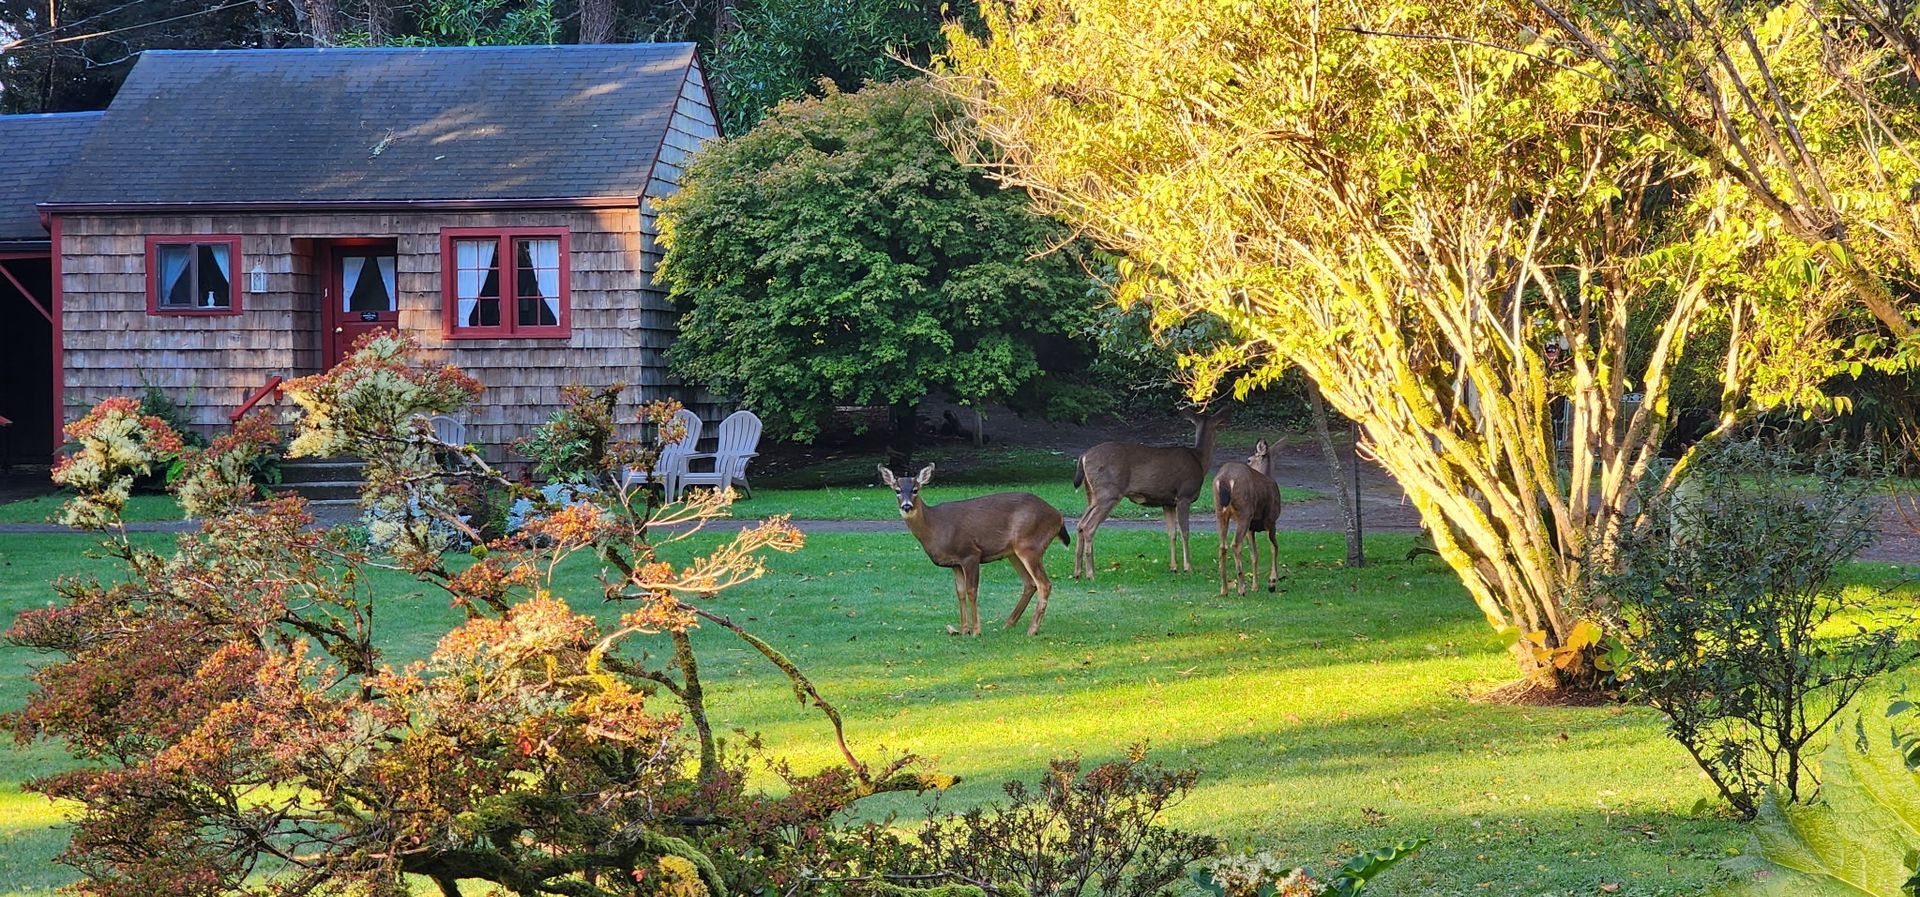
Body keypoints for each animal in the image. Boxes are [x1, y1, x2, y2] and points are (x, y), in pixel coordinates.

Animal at [878, 464, 1071, 636]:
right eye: (897, 490)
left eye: (916, 489)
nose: (907, 506)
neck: (935, 526)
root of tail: (1058, 517)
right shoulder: (955, 563)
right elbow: (960, 592)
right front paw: (964, 630)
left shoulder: (970, 553)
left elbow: (972, 591)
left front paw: (977, 631)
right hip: (1014, 552)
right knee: (1030, 583)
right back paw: (1008, 624)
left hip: (1030, 545)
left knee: (1044, 584)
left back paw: (1031, 630)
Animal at [1071, 408, 1227, 579]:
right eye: (1218, 426)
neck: (1199, 460)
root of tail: (1084, 456)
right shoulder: (1184, 496)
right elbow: (1185, 532)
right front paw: (1187, 567)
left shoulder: (1168, 502)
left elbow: (1172, 533)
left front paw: (1173, 567)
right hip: (1109, 493)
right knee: (1088, 526)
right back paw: (1090, 574)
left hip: (1092, 495)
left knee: (1080, 524)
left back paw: (1077, 572)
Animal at [1215, 439, 1284, 595]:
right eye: (1249, 460)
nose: (1247, 461)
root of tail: (1225, 479)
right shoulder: (1272, 520)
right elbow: (1274, 547)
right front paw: (1272, 582)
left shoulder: (1251, 529)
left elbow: (1254, 555)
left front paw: (1255, 586)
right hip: (1244, 512)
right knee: (1235, 544)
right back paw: (1241, 589)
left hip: (1219, 512)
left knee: (1222, 545)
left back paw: (1224, 589)